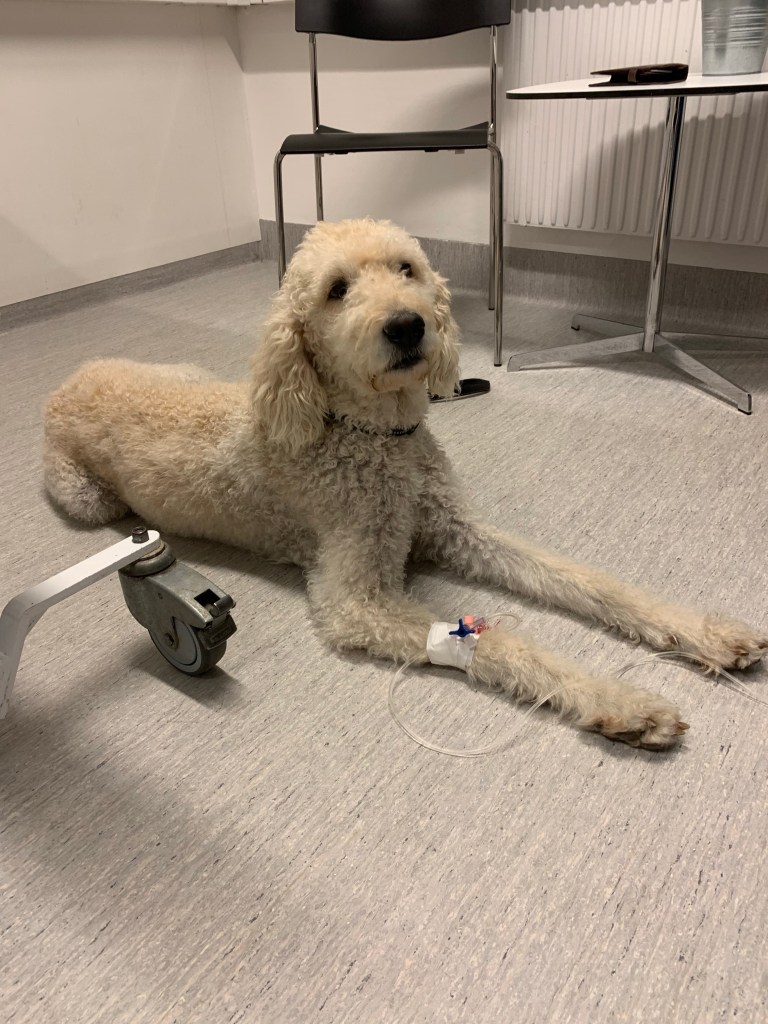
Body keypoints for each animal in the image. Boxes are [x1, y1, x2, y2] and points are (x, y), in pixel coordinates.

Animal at [43, 218, 767, 749]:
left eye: (405, 269)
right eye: (337, 289)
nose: (406, 324)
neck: (378, 438)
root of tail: (69, 378)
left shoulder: (455, 528)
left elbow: (585, 579)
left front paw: (700, 631)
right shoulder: (354, 599)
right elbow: (496, 638)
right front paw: (619, 700)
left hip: (183, 371)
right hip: (83, 496)